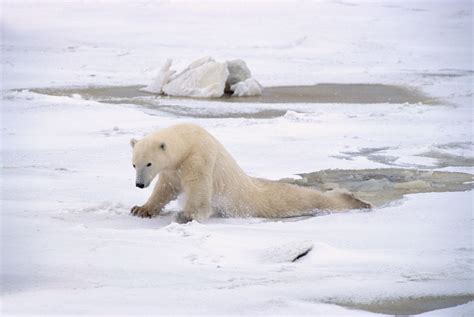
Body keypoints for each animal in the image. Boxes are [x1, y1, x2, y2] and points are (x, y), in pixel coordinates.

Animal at [130, 123, 370, 222]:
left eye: (148, 163)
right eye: (134, 164)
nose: (139, 184)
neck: (188, 139)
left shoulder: (200, 158)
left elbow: (199, 190)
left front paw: (186, 214)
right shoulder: (173, 169)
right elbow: (165, 189)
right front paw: (140, 209)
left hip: (250, 198)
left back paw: (354, 200)